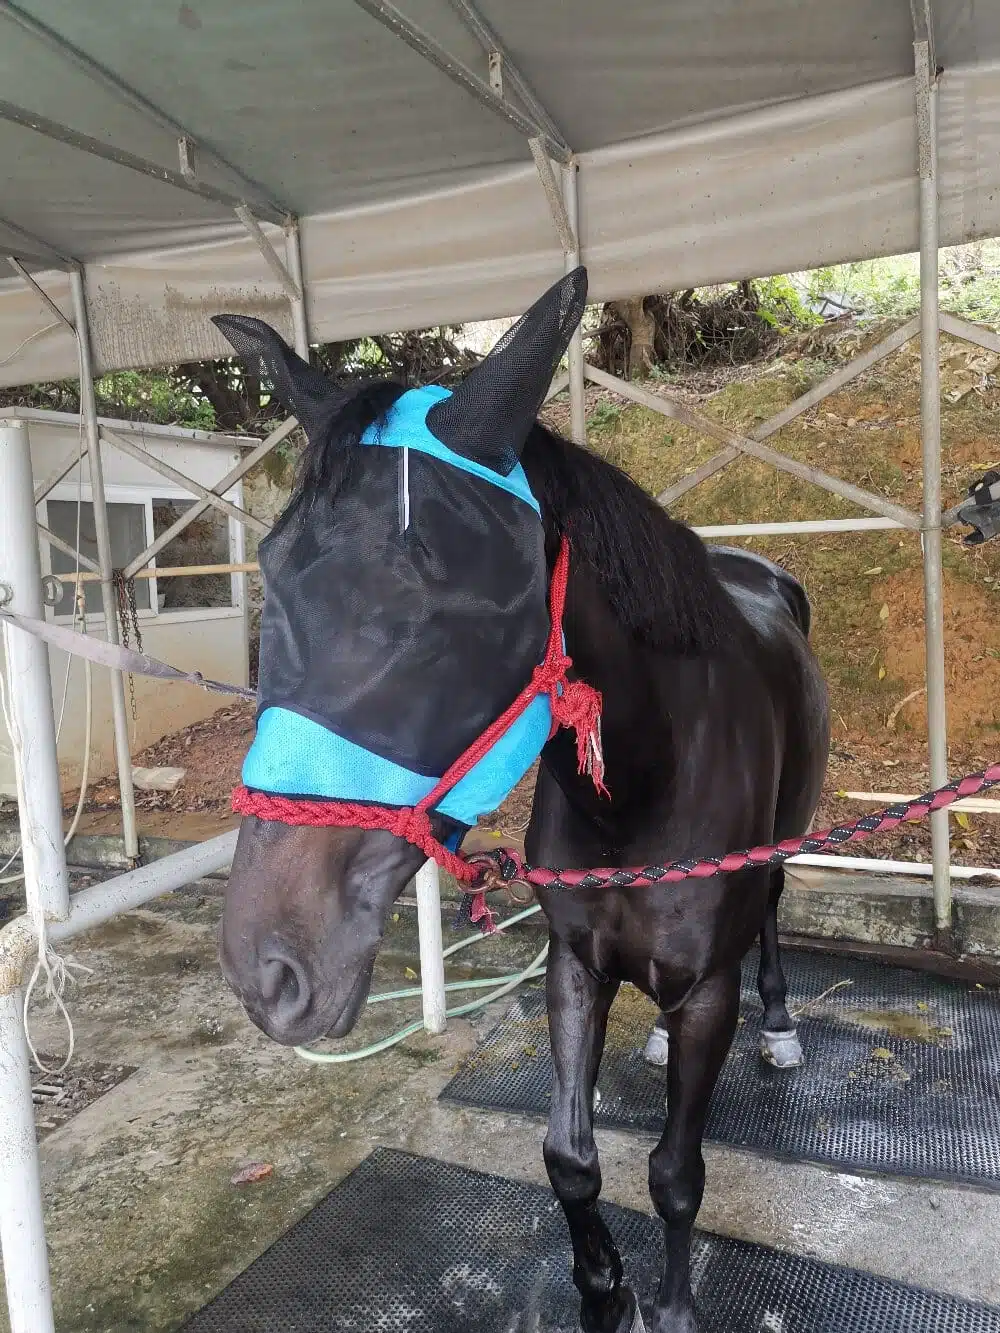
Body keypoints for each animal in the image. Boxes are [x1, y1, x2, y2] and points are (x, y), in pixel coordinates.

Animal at [213, 272, 830, 1333]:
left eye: (446, 612)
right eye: (275, 572)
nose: (269, 971)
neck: (646, 782)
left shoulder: (710, 988)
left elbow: (675, 1174)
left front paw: (669, 1306)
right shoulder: (573, 963)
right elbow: (570, 1159)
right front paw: (603, 1289)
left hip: (783, 851)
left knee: (775, 913)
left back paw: (783, 1022)